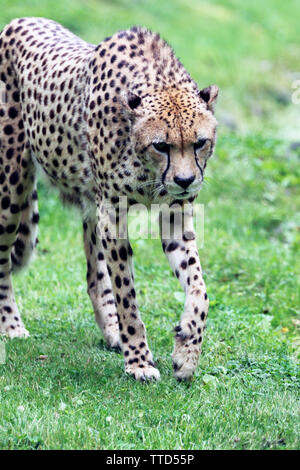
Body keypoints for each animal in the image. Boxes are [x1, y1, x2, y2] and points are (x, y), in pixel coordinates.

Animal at [0, 17, 218, 382]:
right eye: (161, 145)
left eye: (200, 142)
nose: (185, 180)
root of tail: (18, 20)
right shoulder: (113, 215)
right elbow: (127, 293)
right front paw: (139, 362)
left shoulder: (174, 213)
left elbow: (199, 286)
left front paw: (187, 351)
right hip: (12, 186)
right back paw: (11, 325)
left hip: (90, 204)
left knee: (94, 275)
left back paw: (112, 332)